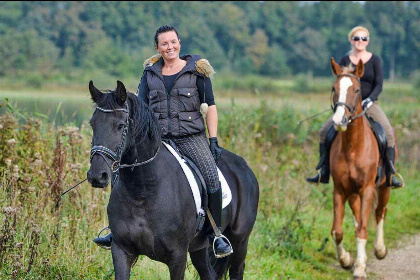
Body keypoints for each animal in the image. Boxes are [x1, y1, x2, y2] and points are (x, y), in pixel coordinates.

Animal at [86, 81, 260, 280]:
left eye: (121, 126)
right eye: (93, 124)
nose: (97, 175)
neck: (143, 190)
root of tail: (245, 168)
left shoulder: (177, 256)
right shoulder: (121, 250)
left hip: (240, 242)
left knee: (237, 269)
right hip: (199, 248)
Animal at [328, 58, 394, 278]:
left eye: (357, 90)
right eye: (334, 88)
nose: (339, 121)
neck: (353, 147)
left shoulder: (367, 189)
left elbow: (364, 228)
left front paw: (358, 269)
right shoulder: (340, 190)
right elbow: (337, 231)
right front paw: (347, 260)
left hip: (384, 187)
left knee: (380, 212)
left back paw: (379, 249)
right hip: (353, 194)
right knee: (358, 219)